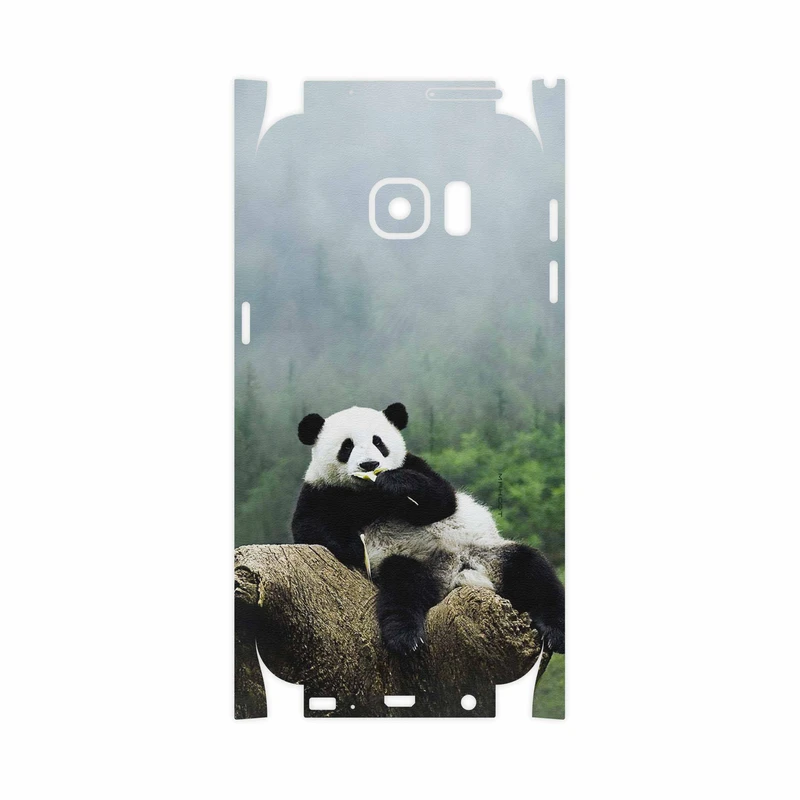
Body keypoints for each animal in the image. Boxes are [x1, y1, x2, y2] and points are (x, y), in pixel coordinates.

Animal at [292, 403, 565, 655]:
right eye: (346, 446)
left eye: (378, 442)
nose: (370, 464)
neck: (368, 494)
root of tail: (457, 572)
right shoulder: (320, 491)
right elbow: (309, 528)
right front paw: (354, 547)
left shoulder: (415, 465)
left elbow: (442, 500)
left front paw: (394, 482)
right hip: (414, 562)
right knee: (403, 587)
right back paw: (405, 637)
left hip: (489, 553)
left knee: (532, 570)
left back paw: (555, 632)